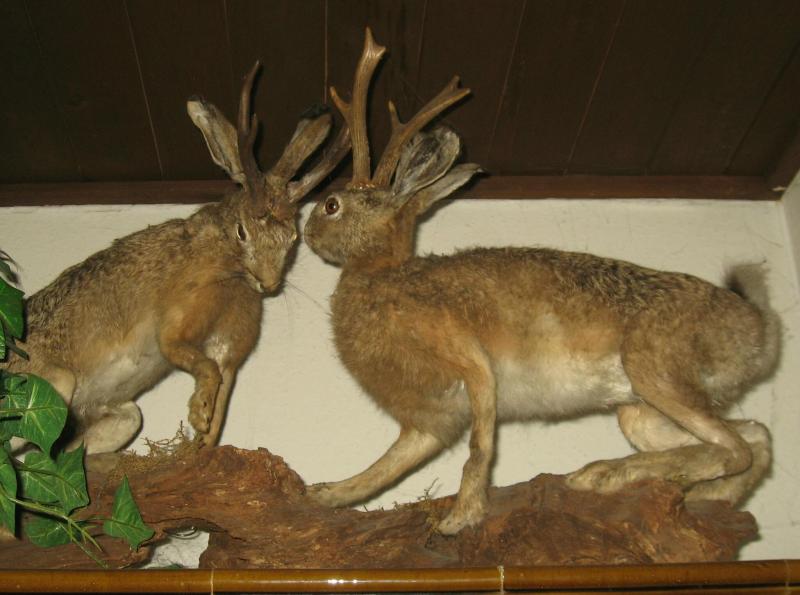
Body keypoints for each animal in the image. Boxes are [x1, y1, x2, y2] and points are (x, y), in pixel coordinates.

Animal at [3, 63, 350, 460]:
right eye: (242, 231)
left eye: (292, 238)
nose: (269, 283)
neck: (228, 267)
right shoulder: (175, 325)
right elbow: (202, 366)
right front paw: (198, 412)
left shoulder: (229, 353)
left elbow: (221, 395)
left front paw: (203, 441)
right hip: (48, 384)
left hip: (119, 419)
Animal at [302, 29, 781, 535]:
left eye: (331, 206)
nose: (307, 234)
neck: (381, 274)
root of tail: (758, 331)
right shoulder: (429, 422)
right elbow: (385, 467)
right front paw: (326, 494)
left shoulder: (469, 363)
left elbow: (479, 447)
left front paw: (460, 518)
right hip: (642, 412)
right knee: (752, 438)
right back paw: (707, 499)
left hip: (655, 368)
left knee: (733, 448)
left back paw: (603, 475)